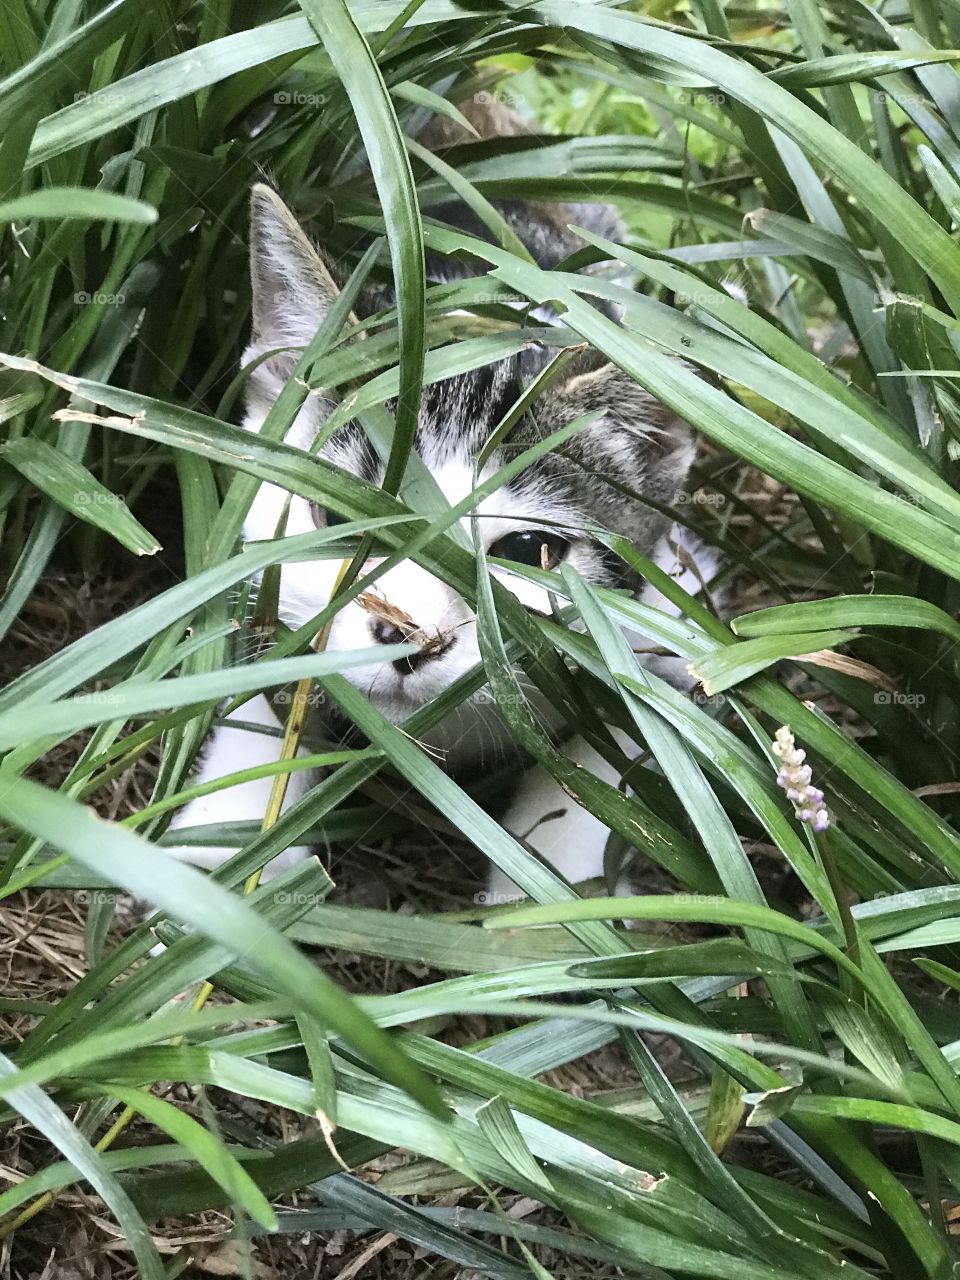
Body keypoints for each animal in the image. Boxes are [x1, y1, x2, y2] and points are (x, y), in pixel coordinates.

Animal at [165, 175, 716, 896]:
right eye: (340, 520)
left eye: (526, 554)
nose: (409, 635)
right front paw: (221, 843)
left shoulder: (680, 604)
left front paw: (550, 895)